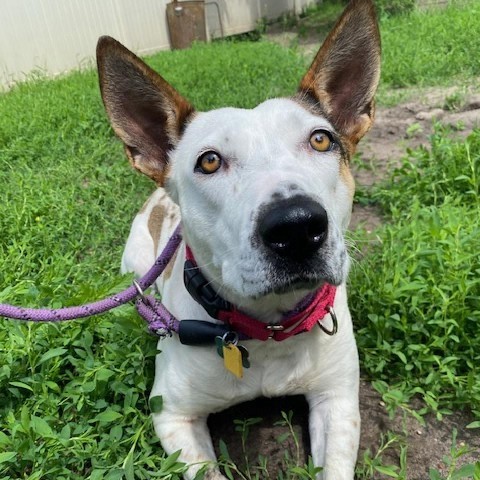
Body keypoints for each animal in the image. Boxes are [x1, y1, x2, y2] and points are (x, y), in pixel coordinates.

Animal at [95, 1, 380, 478]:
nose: (296, 226)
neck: (266, 330)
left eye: (321, 139)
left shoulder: (337, 400)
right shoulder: (173, 415)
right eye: (209, 161)